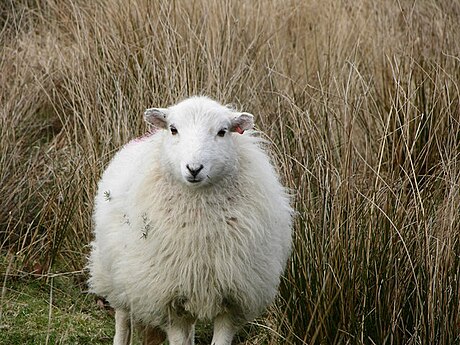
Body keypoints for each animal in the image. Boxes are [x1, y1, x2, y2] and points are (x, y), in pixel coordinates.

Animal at [88, 94, 292, 344]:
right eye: (173, 129)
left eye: (222, 131)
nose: (194, 168)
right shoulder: (169, 301)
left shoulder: (233, 300)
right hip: (116, 275)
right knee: (122, 318)